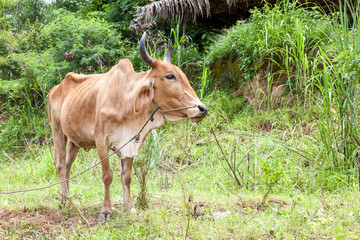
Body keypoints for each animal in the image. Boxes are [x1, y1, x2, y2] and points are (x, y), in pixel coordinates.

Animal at [46, 32, 207, 220]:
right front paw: (106, 210)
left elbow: (126, 177)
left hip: (74, 140)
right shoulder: (101, 141)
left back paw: (68, 199)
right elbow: (107, 176)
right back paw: (65, 201)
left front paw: (129, 207)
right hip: (57, 131)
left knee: (68, 166)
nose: (202, 109)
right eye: (170, 76)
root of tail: (55, 88)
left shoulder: (131, 142)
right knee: (60, 165)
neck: (125, 101)